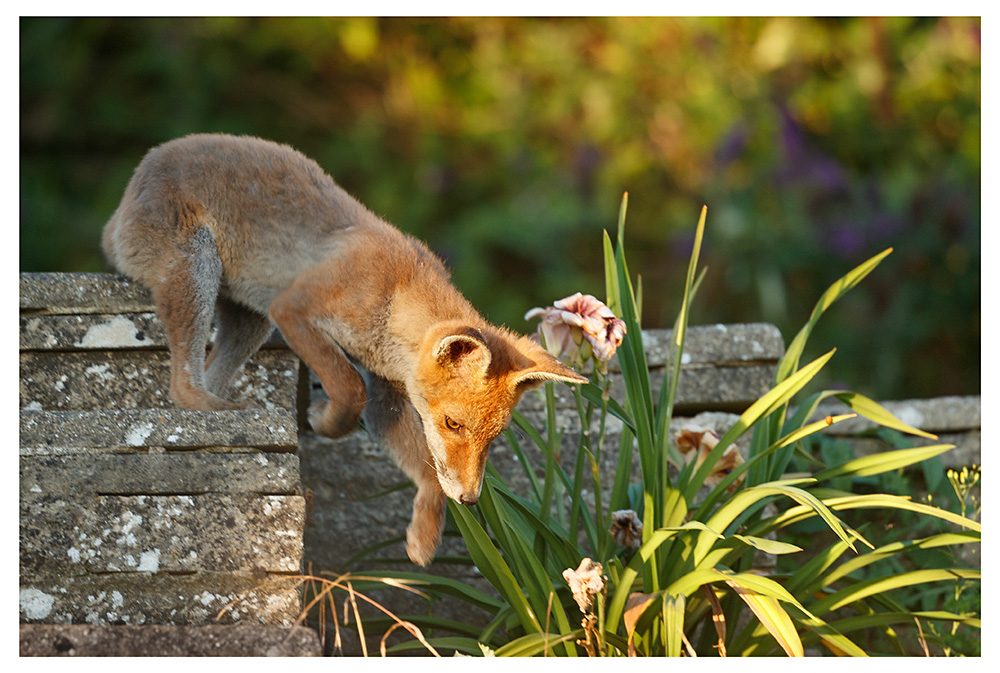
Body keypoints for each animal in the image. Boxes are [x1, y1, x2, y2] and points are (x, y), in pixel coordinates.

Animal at [101, 133, 588, 566]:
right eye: (454, 424)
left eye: (495, 437)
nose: (469, 499)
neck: (392, 306)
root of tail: (133, 183)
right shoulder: (295, 311)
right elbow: (349, 386)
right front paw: (323, 421)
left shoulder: (388, 393)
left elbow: (426, 474)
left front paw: (423, 538)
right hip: (199, 267)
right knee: (182, 385)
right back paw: (225, 412)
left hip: (249, 319)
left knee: (207, 375)